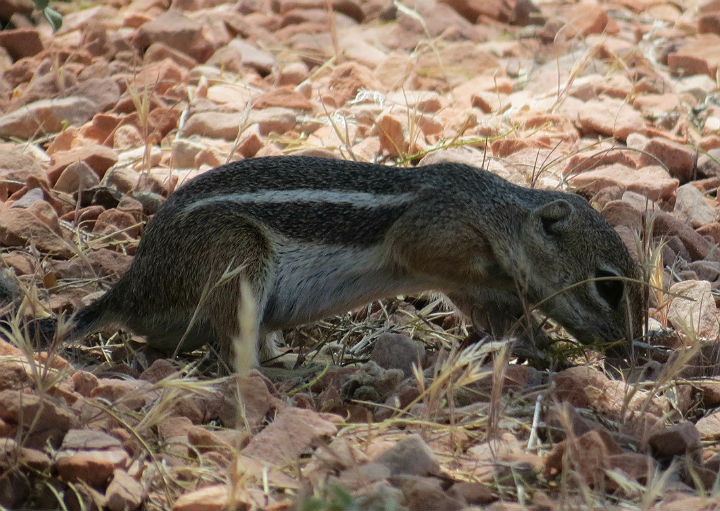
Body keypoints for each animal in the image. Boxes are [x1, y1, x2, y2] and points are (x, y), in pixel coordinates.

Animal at [53, 158, 640, 366]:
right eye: (609, 286)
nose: (629, 350)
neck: (494, 211)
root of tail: (130, 287)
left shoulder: (472, 292)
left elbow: (507, 321)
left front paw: (545, 350)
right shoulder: (436, 234)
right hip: (238, 258)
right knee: (230, 345)